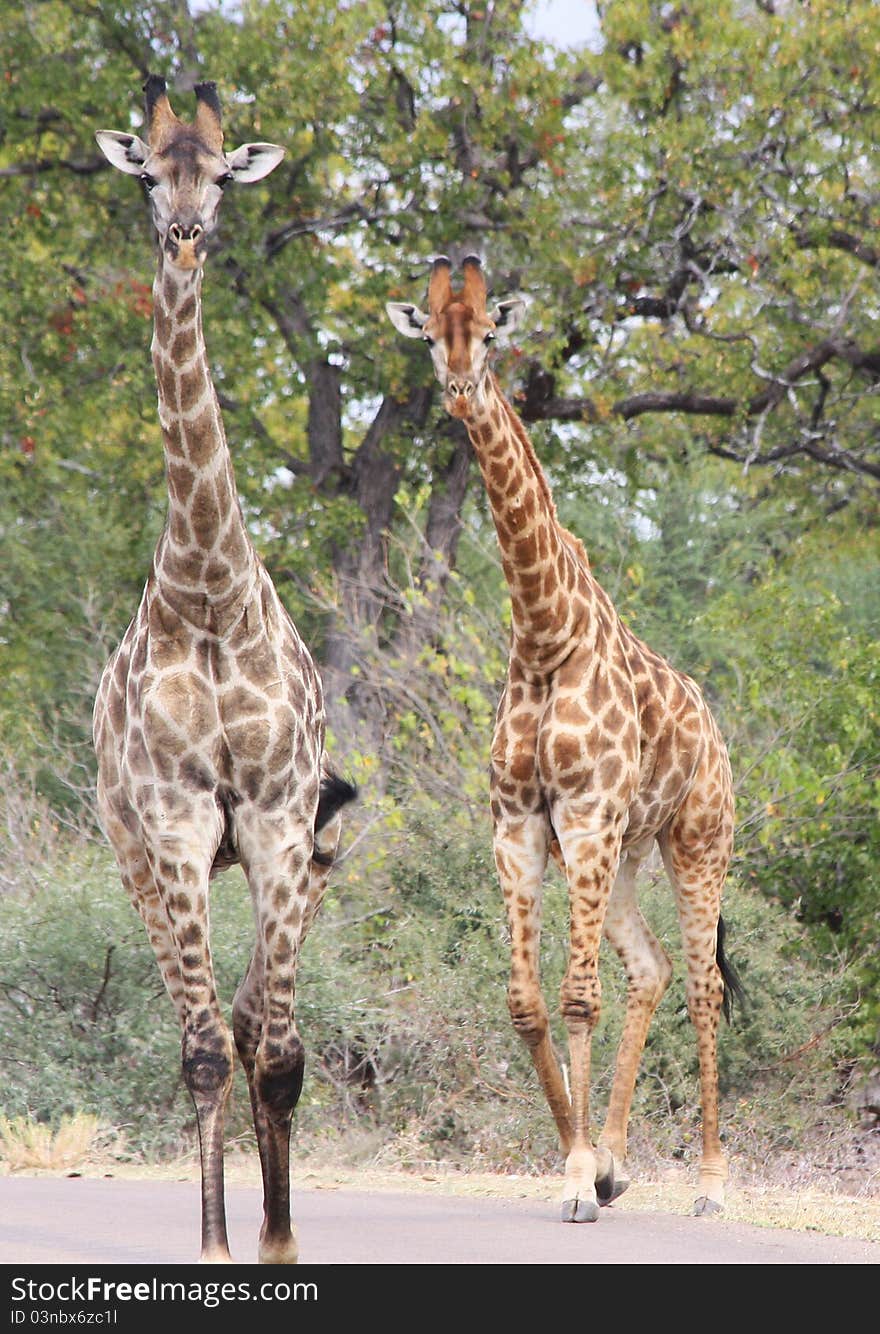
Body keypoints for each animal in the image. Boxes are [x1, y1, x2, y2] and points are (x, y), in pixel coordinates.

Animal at [389, 254, 741, 1221]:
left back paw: (710, 1184)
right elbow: (527, 1002)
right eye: (430, 335)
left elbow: (579, 997)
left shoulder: (581, 818)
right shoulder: (519, 826)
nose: (460, 391)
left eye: (490, 331)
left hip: (696, 844)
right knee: (652, 969)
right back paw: (621, 1160)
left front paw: (580, 1180)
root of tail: (717, 735)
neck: (545, 634)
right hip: (624, 855)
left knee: (703, 984)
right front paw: (584, 1162)